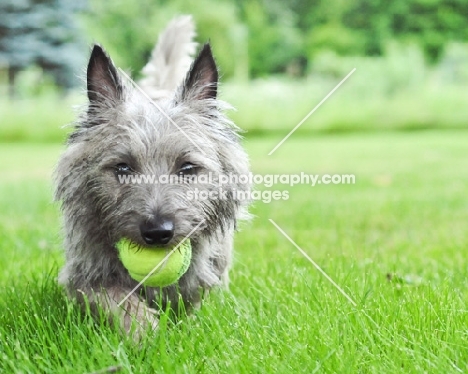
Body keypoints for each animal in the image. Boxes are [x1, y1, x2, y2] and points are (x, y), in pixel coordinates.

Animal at [54, 14, 250, 338]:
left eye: (187, 168)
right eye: (122, 168)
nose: (158, 232)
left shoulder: (202, 276)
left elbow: (191, 298)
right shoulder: (83, 276)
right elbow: (117, 301)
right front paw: (147, 334)